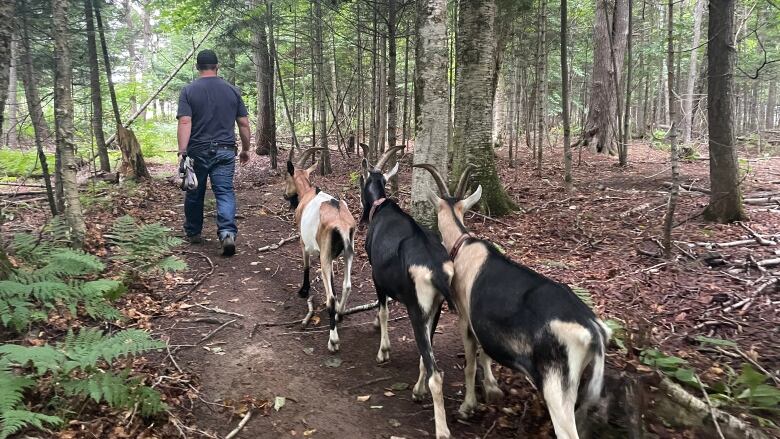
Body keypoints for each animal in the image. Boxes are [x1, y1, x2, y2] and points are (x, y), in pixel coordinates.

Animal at [284, 148, 356, 354]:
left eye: (286, 177)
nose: (285, 195)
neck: (308, 192)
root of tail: (341, 223)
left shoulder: (303, 242)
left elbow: (306, 265)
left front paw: (303, 290)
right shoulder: (330, 256)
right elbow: (332, 279)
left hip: (325, 253)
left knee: (331, 297)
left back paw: (333, 340)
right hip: (348, 251)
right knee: (347, 285)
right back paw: (339, 314)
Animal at [362, 148, 458, 439]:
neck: (382, 206)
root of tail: (436, 269)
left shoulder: (376, 277)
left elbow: (382, 310)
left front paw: (383, 351)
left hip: (417, 308)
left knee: (436, 373)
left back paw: (442, 429)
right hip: (433, 309)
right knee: (427, 352)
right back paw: (418, 389)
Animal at [418, 164, 612, 439]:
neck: (464, 244)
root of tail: (594, 331)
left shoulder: (465, 317)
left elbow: (470, 362)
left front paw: (468, 406)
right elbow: (485, 353)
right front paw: (492, 388)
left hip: (556, 384)